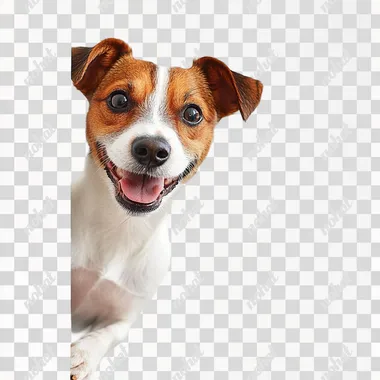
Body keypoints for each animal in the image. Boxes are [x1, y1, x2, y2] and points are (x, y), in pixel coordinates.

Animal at [70, 37, 262, 378]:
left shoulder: (125, 313)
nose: (151, 149)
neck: (120, 226)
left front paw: (82, 353)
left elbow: (109, 333)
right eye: (119, 100)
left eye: (192, 114)